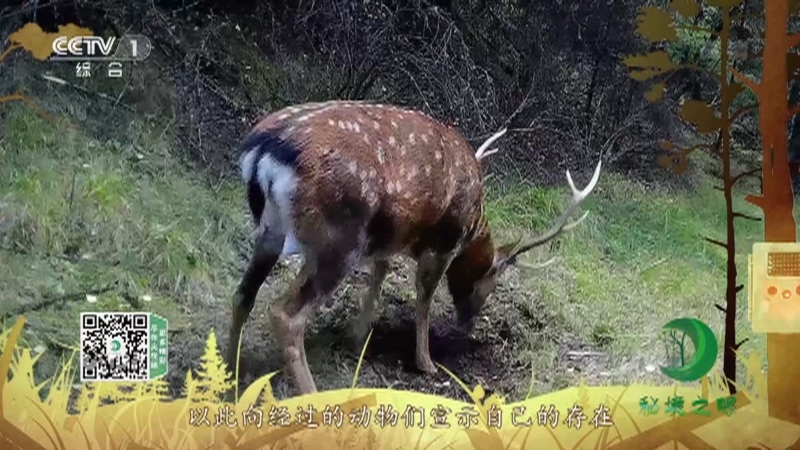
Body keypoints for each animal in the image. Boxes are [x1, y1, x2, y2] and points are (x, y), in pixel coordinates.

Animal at [226, 100, 602, 396]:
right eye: (491, 282)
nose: (467, 323)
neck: (474, 220)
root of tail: (261, 152)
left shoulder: (389, 235)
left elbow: (381, 271)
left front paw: (358, 336)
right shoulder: (445, 240)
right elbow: (424, 295)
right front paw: (426, 362)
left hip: (272, 230)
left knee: (243, 295)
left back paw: (228, 378)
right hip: (337, 239)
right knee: (285, 314)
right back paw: (311, 396)